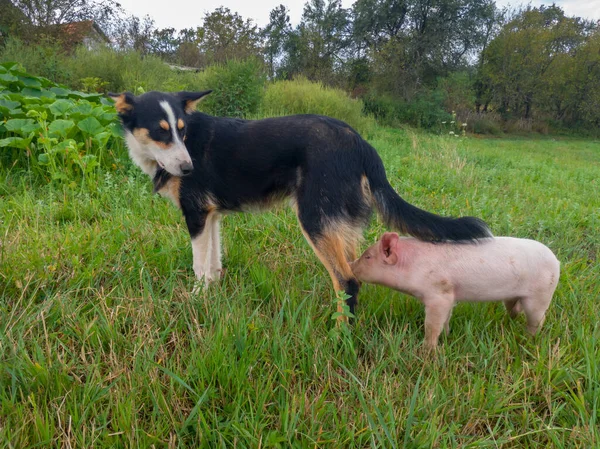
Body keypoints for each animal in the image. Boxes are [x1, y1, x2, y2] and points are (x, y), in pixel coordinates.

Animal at [109, 90, 492, 316]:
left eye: (182, 130)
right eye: (161, 131)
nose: (188, 168)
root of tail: (361, 143)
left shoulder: (196, 215)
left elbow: (199, 266)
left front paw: (197, 300)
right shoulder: (211, 216)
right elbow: (215, 263)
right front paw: (213, 293)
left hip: (315, 219)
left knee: (347, 281)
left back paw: (339, 340)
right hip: (337, 222)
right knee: (354, 274)